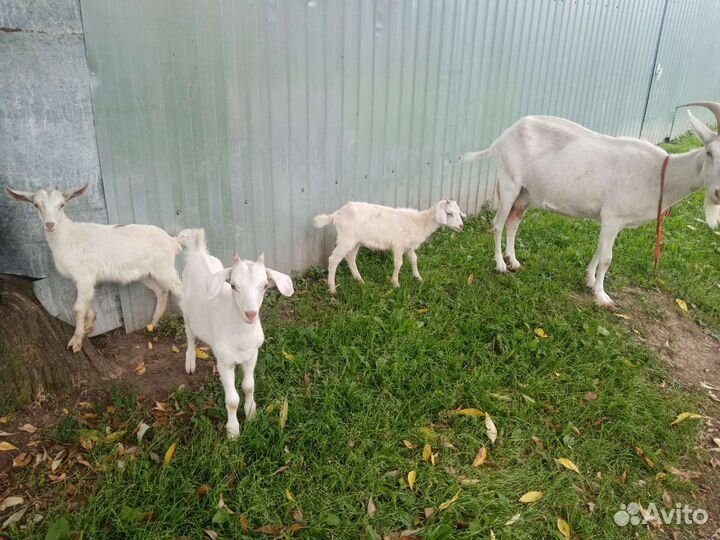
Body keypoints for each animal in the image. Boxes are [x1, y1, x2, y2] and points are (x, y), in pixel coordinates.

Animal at [6, 183, 186, 351]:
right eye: (36, 205)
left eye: (62, 204)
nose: (49, 225)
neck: (68, 237)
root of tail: (172, 240)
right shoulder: (83, 279)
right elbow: (88, 301)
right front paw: (89, 326)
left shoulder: (84, 277)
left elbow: (78, 308)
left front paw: (76, 342)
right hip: (145, 274)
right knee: (161, 291)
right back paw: (153, 323)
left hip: (164, 268)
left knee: (181, 290)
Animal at [180, 229, 294, 438]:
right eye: (233, 285)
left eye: (265, 285)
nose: (251, 314)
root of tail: (198, 253)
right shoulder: (225, 364)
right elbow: (232, 400)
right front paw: (233, 431)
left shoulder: (252, 356)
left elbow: (249, 387)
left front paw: (251, 413)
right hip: (186, 310)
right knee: (190, 335)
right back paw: (190, 361)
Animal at [313, 199, 465, 293]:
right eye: (449, 213)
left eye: (458, 212)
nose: (461, 226)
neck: (420, 222)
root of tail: (336, 215)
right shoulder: (398, 244)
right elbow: (399, 263)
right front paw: (395, 283)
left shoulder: (408, 246)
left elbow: (414, 259)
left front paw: (418, 278)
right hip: (346, 238)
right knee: (334, 259)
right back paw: (332, 289)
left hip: (355, 241)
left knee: (350, 258)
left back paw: (359, 280)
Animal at [462, 102, 720, 307]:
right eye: (709, 152)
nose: (718, 193)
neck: (659, 174)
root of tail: (502, 138)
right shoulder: (613, 216)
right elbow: (607, 258)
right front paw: (602, 297)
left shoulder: (611, 220)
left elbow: (599, 249)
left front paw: (589, 279)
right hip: (509, 182)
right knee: (497, 223)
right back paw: (500, 265)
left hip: (526, 193)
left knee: (513, 223)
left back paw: (514, 261)